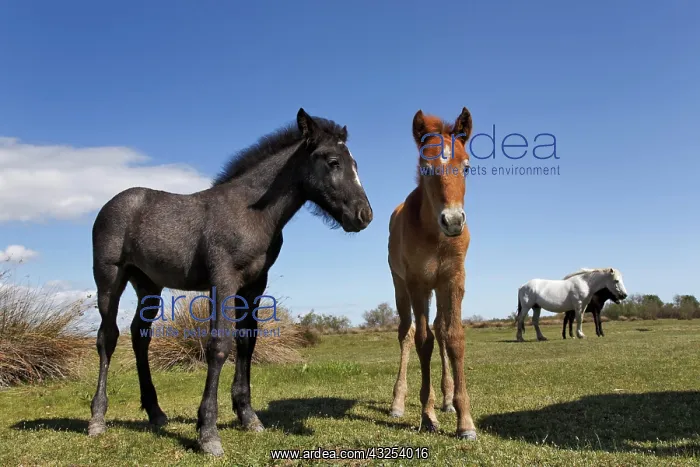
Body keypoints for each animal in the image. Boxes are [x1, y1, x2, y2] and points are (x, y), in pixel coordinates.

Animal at [88, 108, 373, 457]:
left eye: (354, 163)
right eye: (333, 161)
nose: (364, 215)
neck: (250, 212)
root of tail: (112, 204)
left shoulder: (254, 287)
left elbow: (246, 343)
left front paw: (248, 416)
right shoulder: (223, 281)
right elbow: (220, 345)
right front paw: (208, 432)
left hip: (149, 286)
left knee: (140, 336)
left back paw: (155, 412)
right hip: (109, 279)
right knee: (107, 337)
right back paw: (97, 418)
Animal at [387, 107, 477, 440]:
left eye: (467, 167)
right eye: (426, 168)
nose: (452, 221)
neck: (437, 237)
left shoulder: (453, 280)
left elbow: (453, 337)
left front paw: (465, 421)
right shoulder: (418, 283)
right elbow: (422, 340)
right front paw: (427, 415)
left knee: (440, 329)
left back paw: (448, 399)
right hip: (400, 286)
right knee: (406, 332)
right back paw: (398, 403)